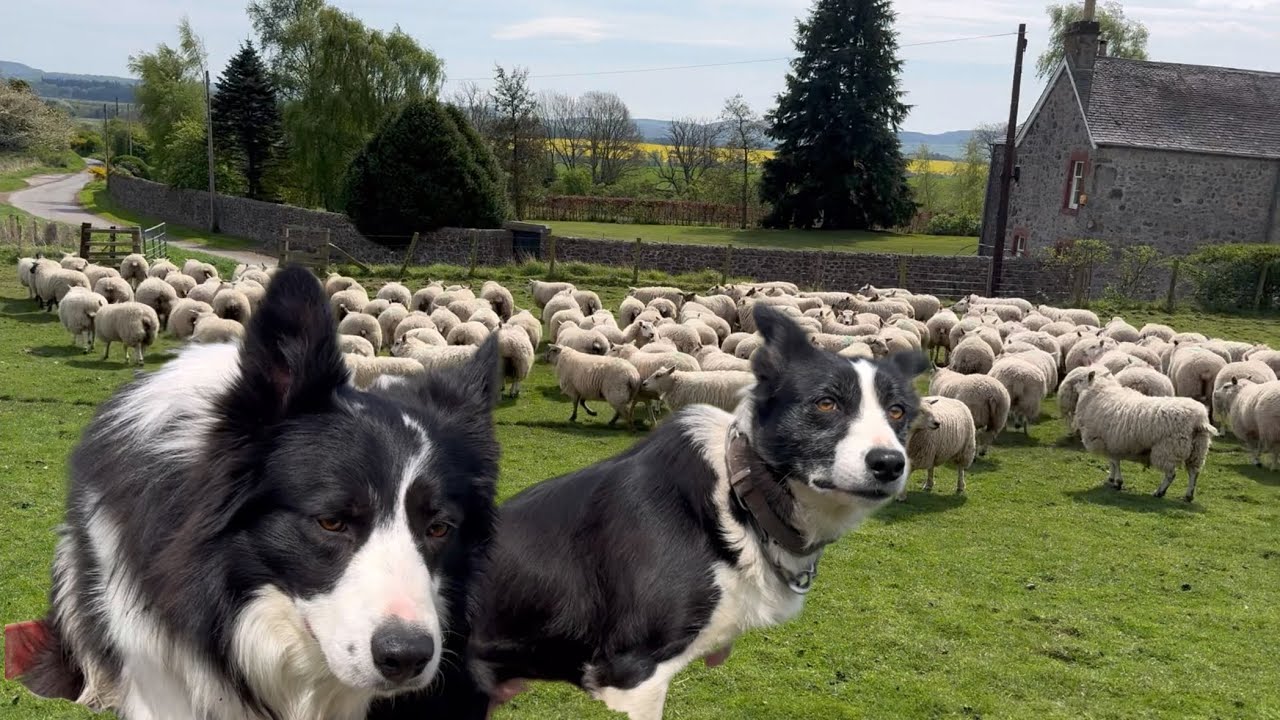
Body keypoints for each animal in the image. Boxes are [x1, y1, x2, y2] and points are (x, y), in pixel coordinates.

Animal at [1072, 369, 1216, 501]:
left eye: (1080, 379)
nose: (1073, 387)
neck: (1100, 392)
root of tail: (1199, 418)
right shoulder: (1112, 444)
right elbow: (1112, 462)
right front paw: (1111, 479)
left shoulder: (1108, 441)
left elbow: (1114, 462)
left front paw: (1117, 482)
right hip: (1198, 449)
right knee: (1194, 473)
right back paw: (1188, 495)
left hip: (1168, 449)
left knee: (1171, 474)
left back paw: (1159, 492)